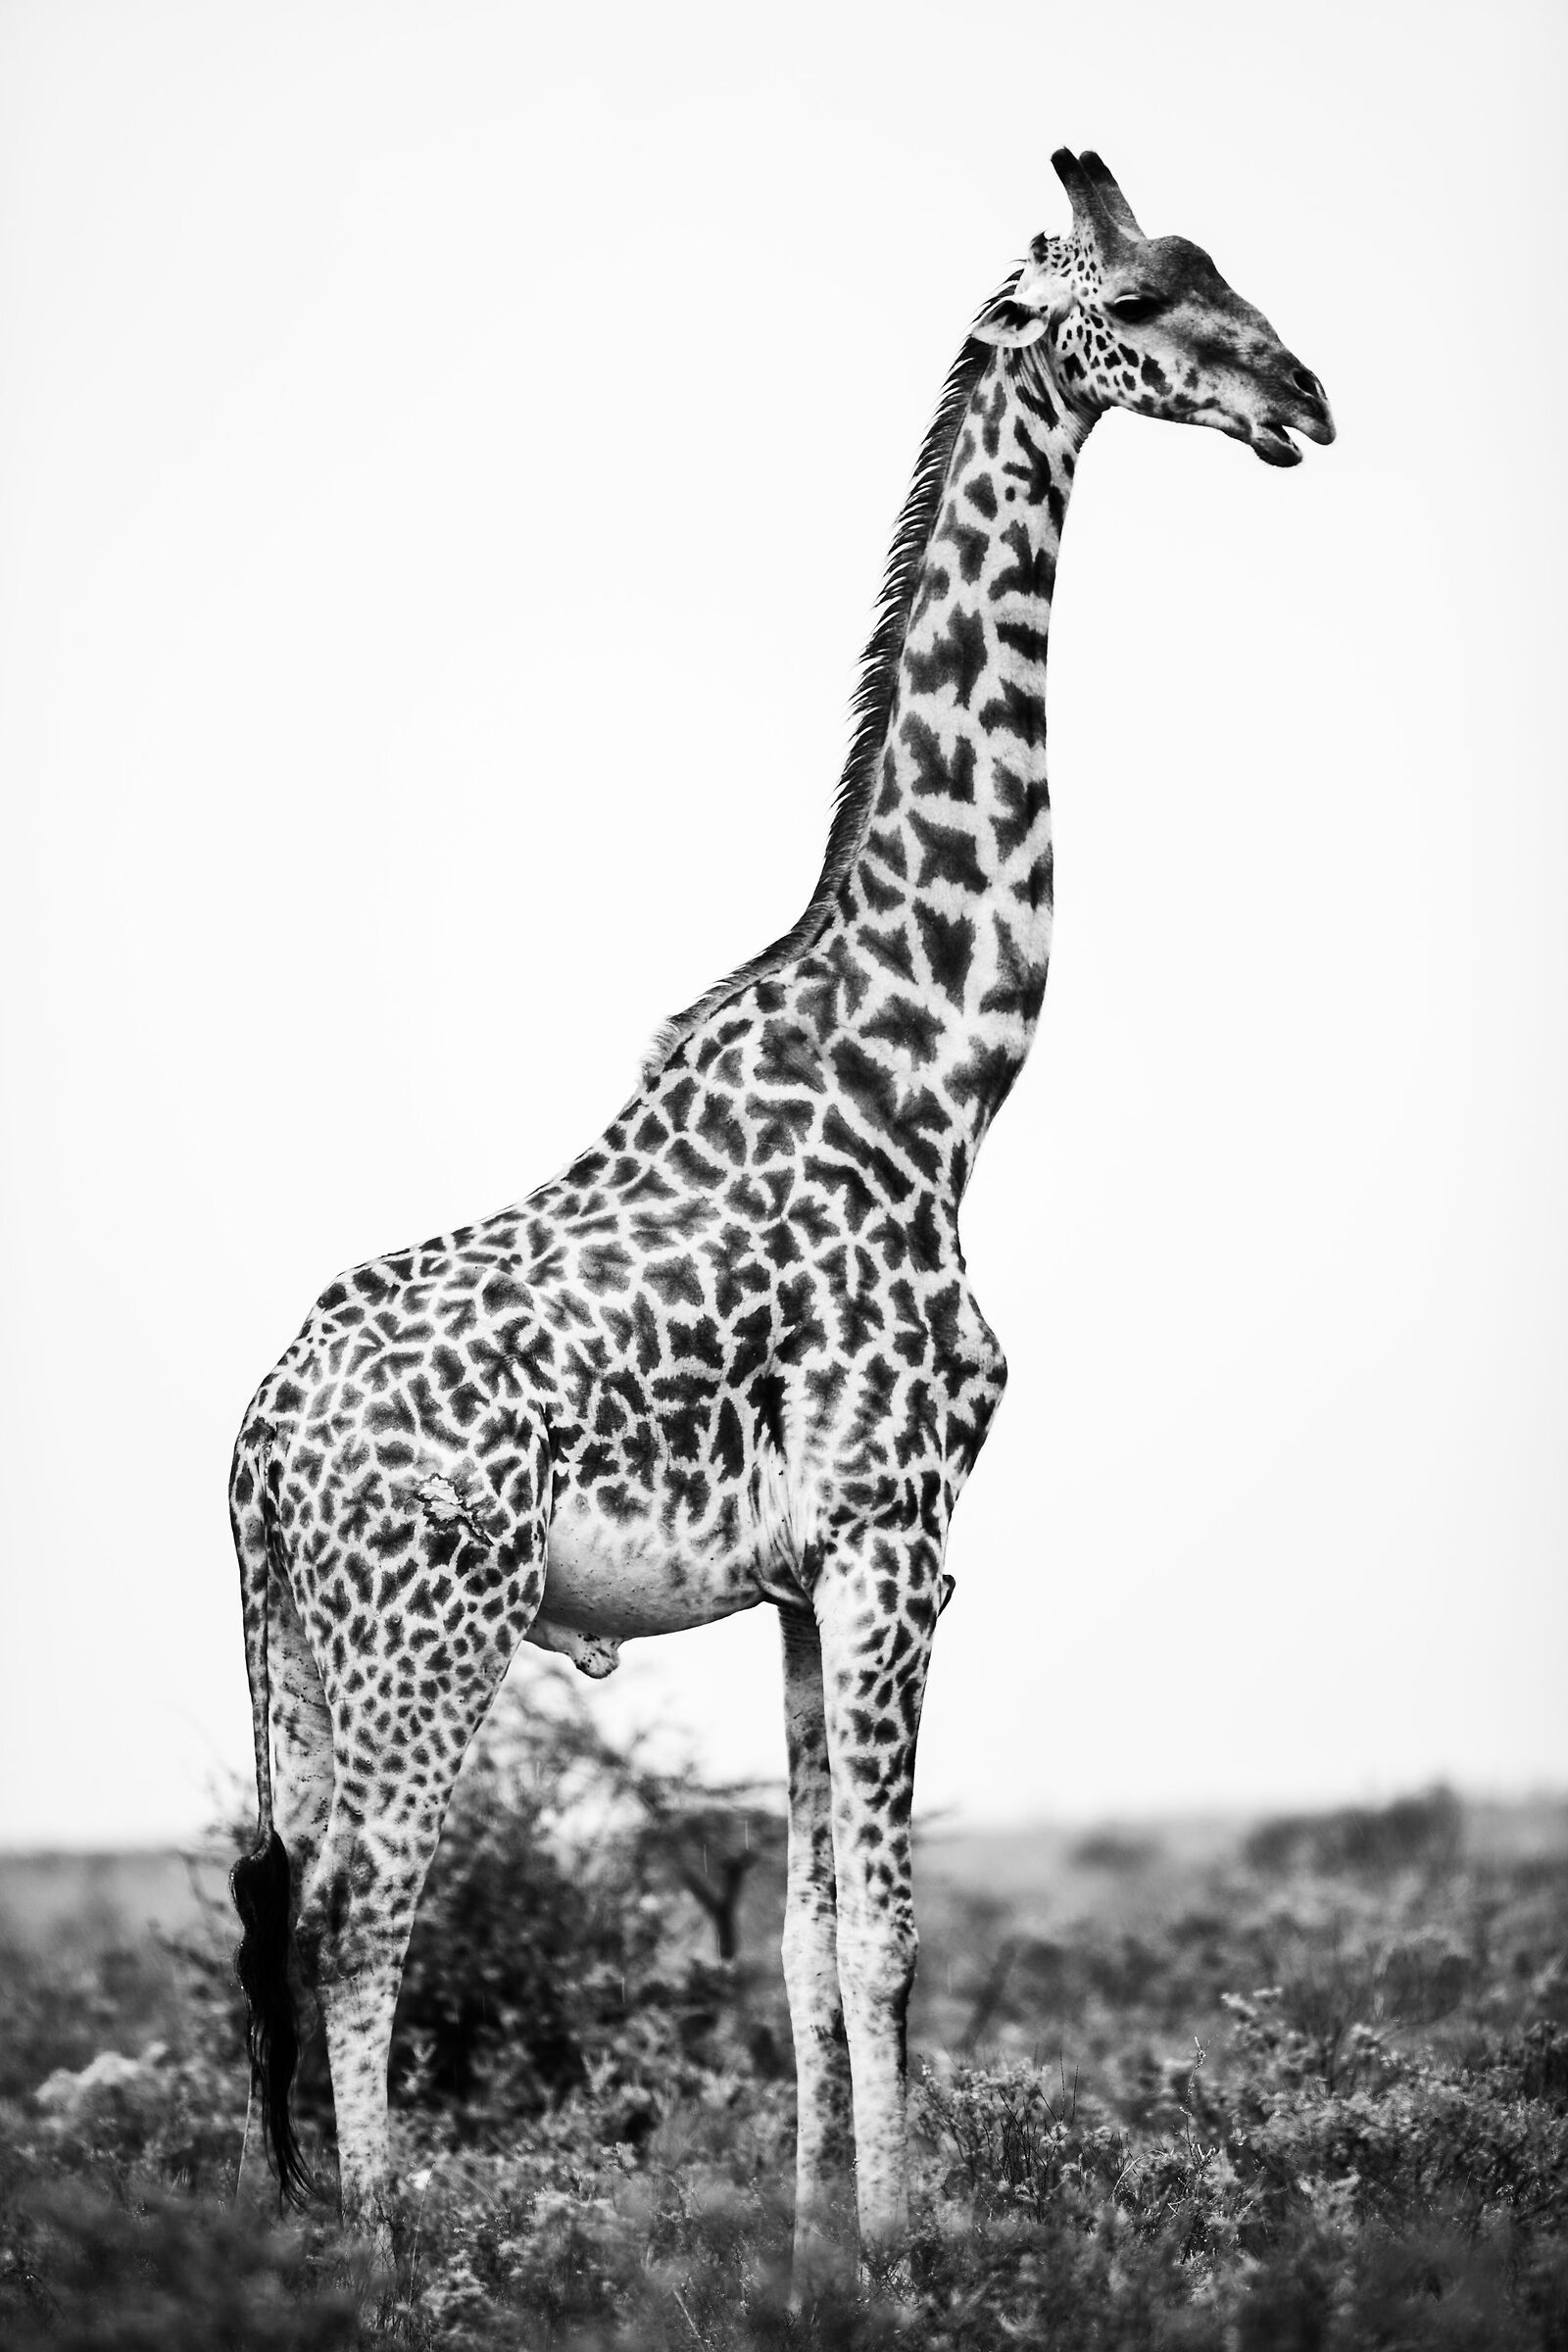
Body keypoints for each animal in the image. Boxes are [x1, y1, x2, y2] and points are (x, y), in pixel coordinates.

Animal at [230, 149, 1334, 2284]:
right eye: (1153, 301)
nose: (1308, 400)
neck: (944, 1082)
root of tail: (252, 1439)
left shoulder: (806, 1576)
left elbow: (811, 1949)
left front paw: (818, 2243)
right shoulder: (905, 1532)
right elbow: (892, 1936)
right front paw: (907, 2254)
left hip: (295, 1649)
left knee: (277, 1892)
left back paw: (295, 2230)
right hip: (429, 1625)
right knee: (362, 1910)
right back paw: (393, 2258)